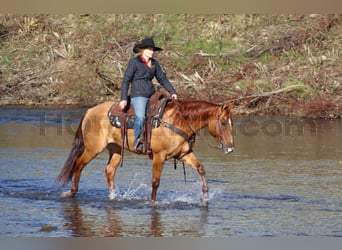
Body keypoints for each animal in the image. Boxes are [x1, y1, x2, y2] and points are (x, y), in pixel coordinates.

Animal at [57, 95, 235, 205]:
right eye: (223, 122)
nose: (230, 148)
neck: (177, 121)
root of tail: (89, 111)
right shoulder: (158, 156)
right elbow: (155, 182)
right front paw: (152, 202)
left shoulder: (184, 154)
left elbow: (201, 168)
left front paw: (205, 196)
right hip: (93, 148)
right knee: (79, 164)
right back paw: (72, 192)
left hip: (115, 149)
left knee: (109, 170)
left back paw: (113, 196)